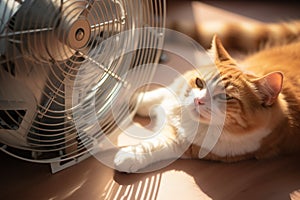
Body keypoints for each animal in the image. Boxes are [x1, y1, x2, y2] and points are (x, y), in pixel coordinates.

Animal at [114, 30, 300, 173]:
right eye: (199, 83)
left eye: (226, 97)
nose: (198, 100)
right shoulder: (175, 89)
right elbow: (164, 92)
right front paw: (136, 100)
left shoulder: (186, 145)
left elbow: (155, 146)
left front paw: (128, 156)